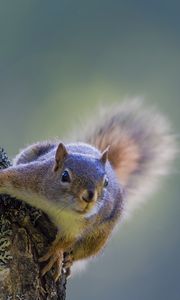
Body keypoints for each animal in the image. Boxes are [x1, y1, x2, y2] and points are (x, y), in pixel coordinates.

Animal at [0, 99, 176, 280]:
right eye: (65, 176)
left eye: (106, 182)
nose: (89, 196)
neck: (60, 208)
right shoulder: (34, 179)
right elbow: (11, 177)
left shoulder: (80, 226)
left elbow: (67, 241)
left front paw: (56, 253)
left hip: (99, 237)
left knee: (83, 251)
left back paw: (70, 260)